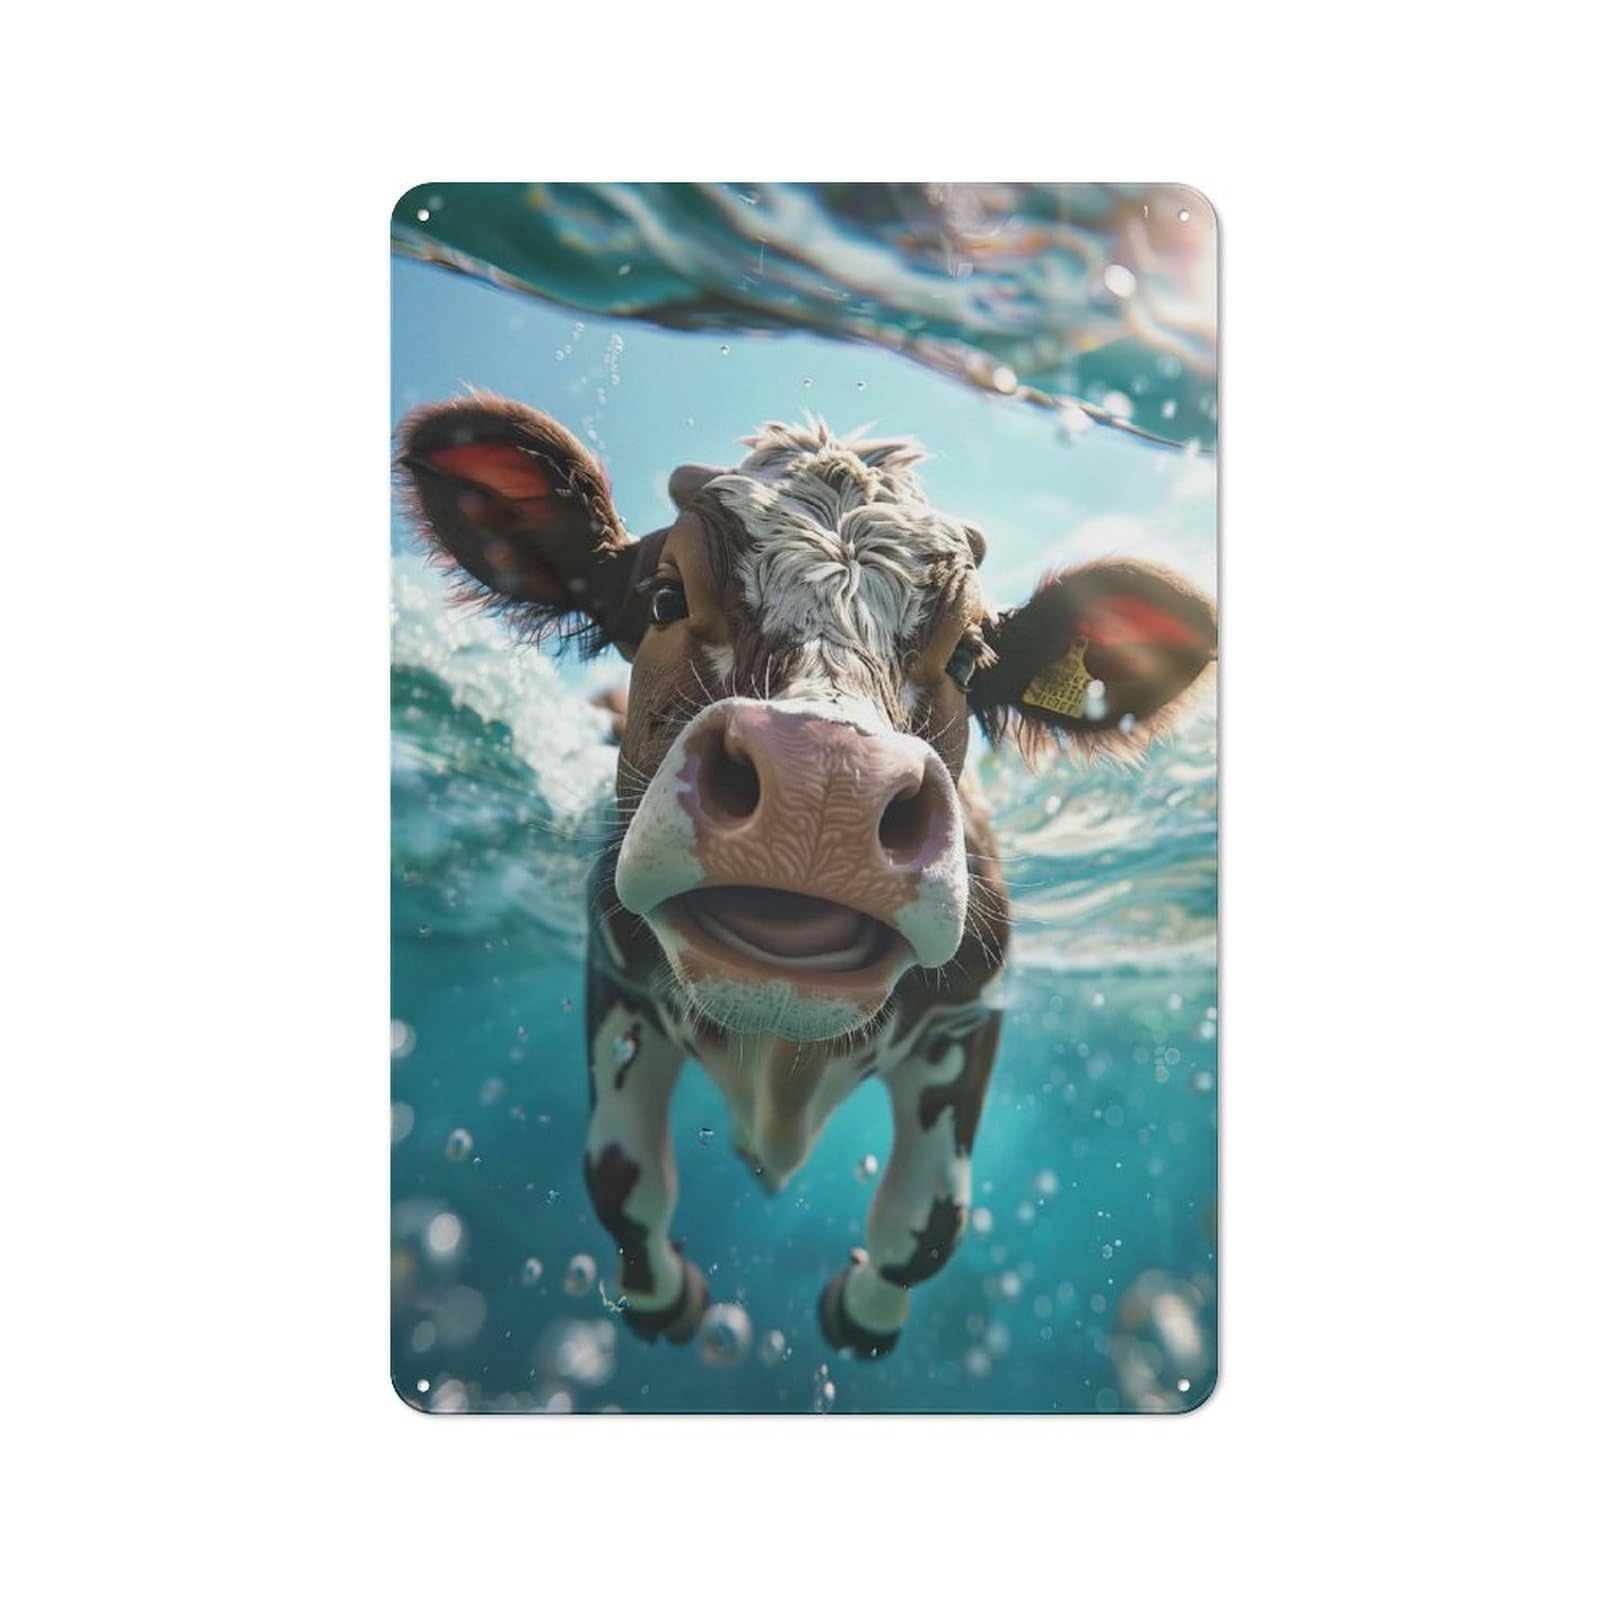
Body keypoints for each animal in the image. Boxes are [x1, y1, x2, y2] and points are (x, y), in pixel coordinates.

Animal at [397, 396, 1216, 1360]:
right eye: (665, 597)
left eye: (968, 659)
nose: (826, 782)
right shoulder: (615, 974)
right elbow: (620, 1181)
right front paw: (665, 1301)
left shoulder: (972, 1012)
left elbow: (928, 1223)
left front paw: (861, 1315)